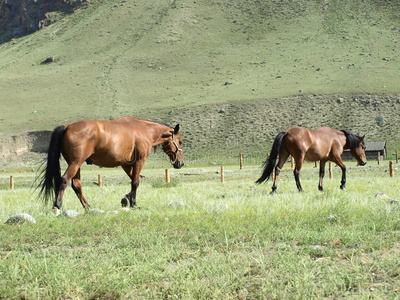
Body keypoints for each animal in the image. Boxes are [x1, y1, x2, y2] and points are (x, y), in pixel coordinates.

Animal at [38, 116, 185, 212]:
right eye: (180, 142)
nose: (181, 163)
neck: (144, 130)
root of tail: (67, 127)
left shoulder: (126, 164)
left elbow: (133, 179)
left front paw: (127, 198)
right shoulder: (139, 161)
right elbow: (135, 182)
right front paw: (133, 203)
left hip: (76, 165)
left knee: (76, 185)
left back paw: (87, 207)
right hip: (75, 163)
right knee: (64, 180)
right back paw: (57, 205)